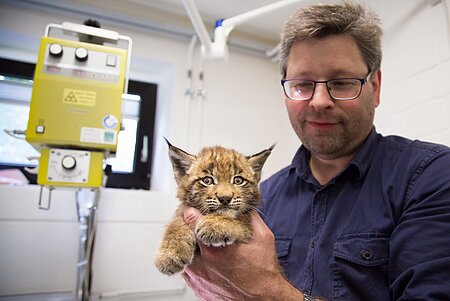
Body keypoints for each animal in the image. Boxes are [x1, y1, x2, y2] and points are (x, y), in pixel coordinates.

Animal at [155, 141, 274, 274]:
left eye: (238, 180)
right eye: (207, 180)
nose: (225, 198)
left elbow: (242, 221)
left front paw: (215, 225)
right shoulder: (183, 209)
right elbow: (176, 222)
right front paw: (169, 254)